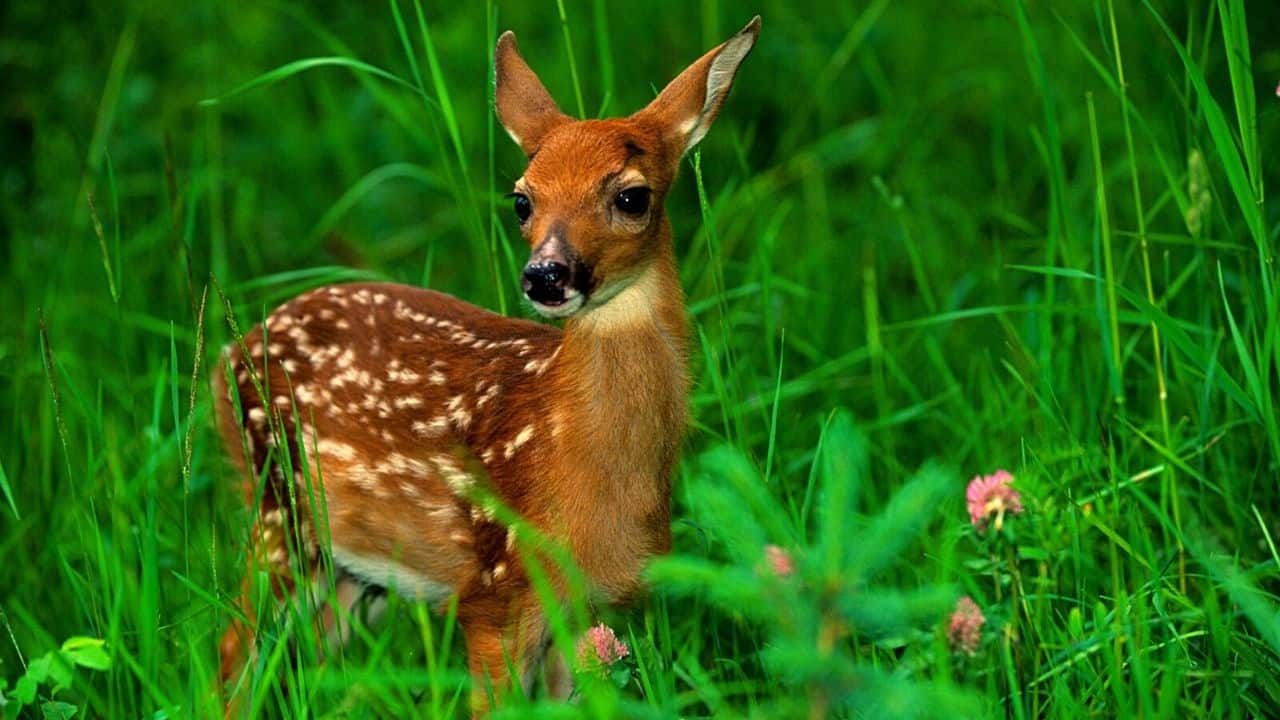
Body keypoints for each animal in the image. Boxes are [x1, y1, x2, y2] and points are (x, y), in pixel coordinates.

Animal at [213, 16, 760, 714]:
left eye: (632, 197)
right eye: (521, 200)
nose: (545, 275)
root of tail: (233, 352)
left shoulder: (591, 609)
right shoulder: (495, 590)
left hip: (349, 569)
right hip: (279, 509)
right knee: (232, 651)